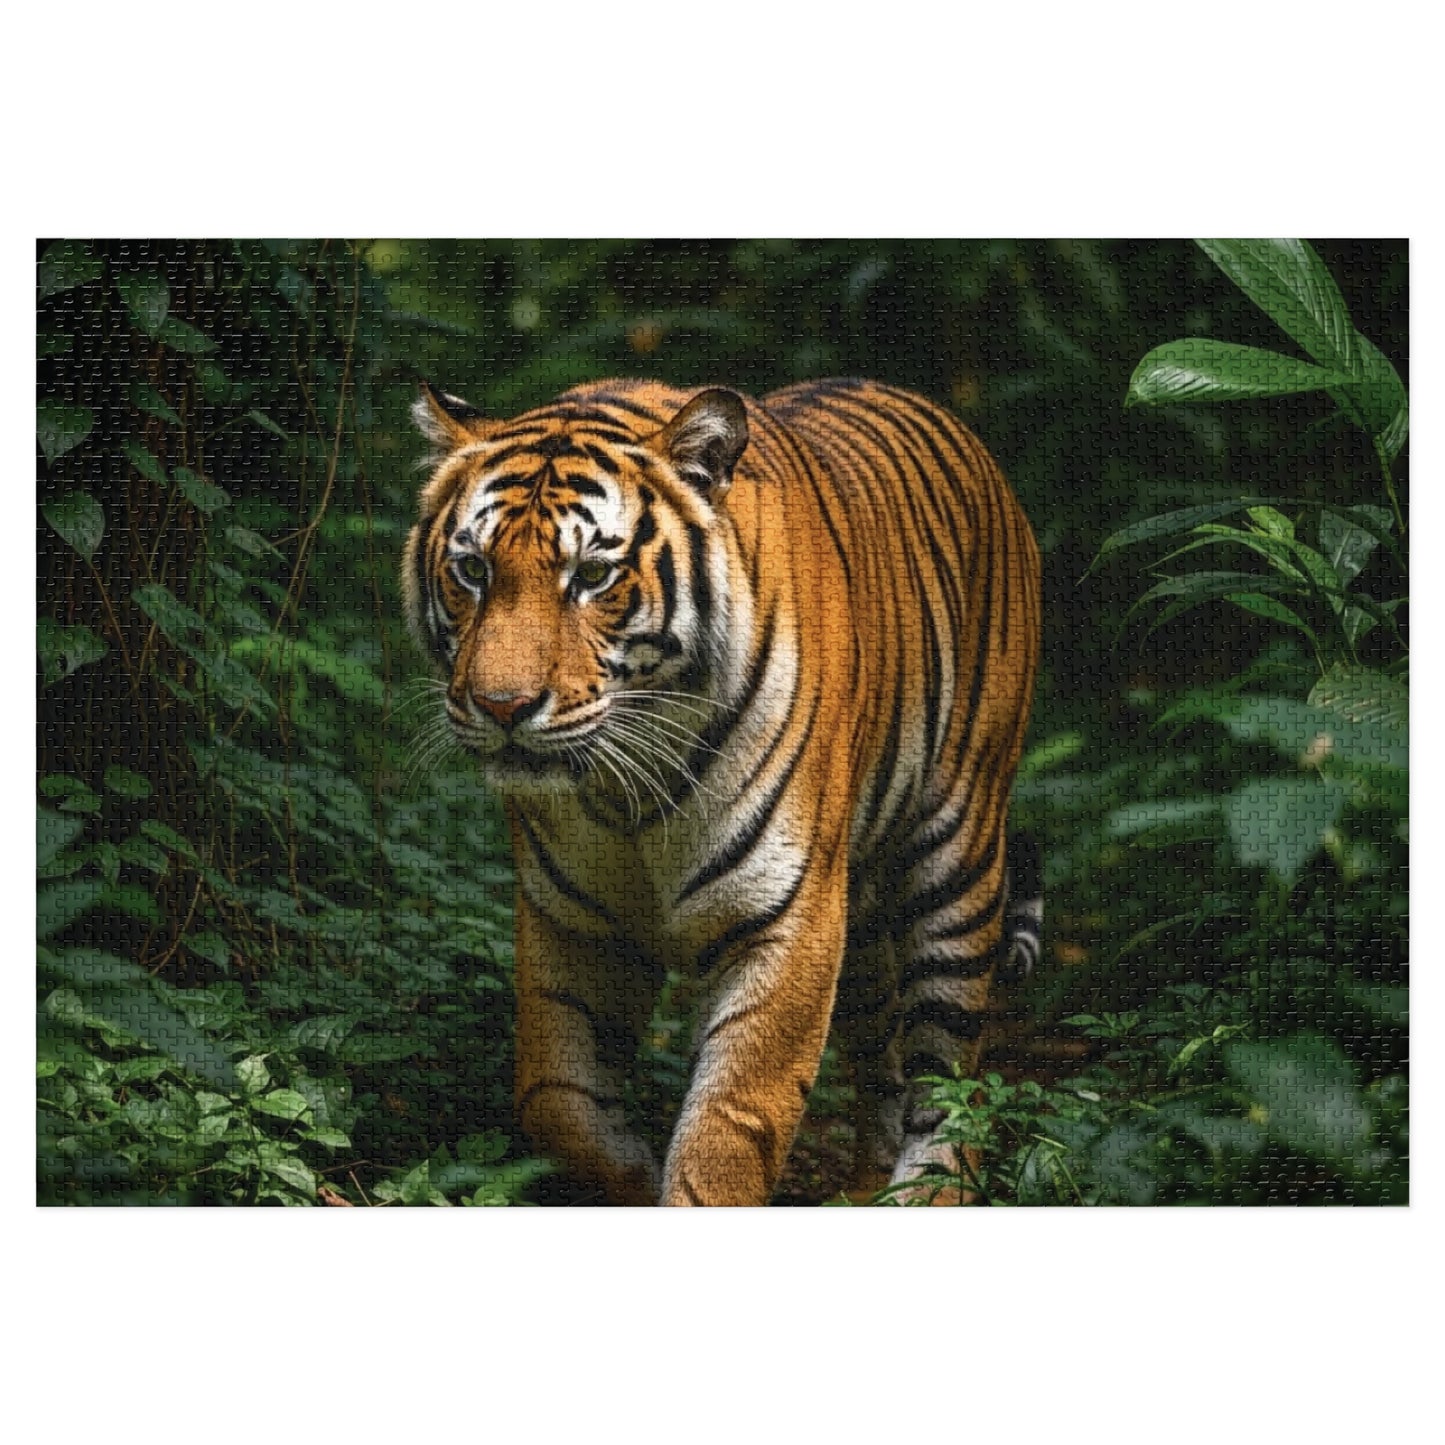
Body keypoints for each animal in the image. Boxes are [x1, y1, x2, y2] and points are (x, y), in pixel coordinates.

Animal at [402, 376, 1041, 1205]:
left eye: (592, 576)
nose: (501, 706)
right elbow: (555, 1098)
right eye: (473, 570)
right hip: (861, 915)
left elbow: (730, 1125)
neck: (627, 788)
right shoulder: (570, 920)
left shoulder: (785, 917)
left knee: (947, 1076)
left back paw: (926, 1190)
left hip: (956, 857)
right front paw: (632, 1176)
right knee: (882, 1054)